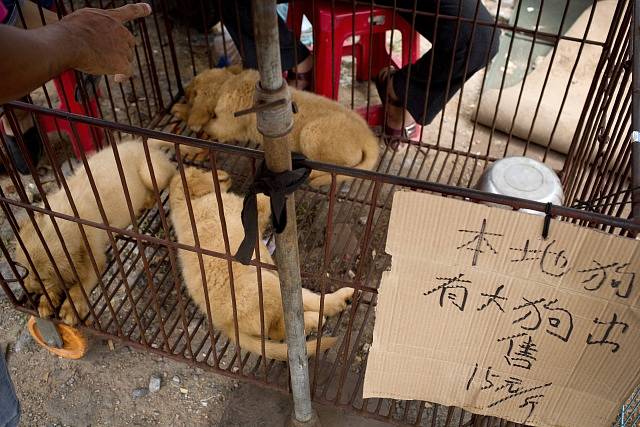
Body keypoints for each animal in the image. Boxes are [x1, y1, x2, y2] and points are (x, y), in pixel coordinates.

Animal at [15, 140, 175, 324]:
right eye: (24, 270)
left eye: (41, 278)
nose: (27, 289)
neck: (65, 215)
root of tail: (140, 143)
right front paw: (46, 302)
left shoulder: (94, 259)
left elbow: (79, 286)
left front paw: (70, 308)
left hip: (153, 174)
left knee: (172, 176)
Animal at [169, 167, 356, 362]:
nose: (225, 174)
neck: (187, 205)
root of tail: (227, 325)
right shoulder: (250, 210)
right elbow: (265, 195)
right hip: (268, 283)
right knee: (295, 312)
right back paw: (328, 308)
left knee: (279, 326)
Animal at [170, 67, 380, 188]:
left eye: (193, 89)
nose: (183, 91)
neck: (228, 84)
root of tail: (368, 138)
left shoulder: (225, 127)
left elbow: (205, 123)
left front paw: (181, 110)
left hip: (311, 135)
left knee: (340, 169)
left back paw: (315, 176)